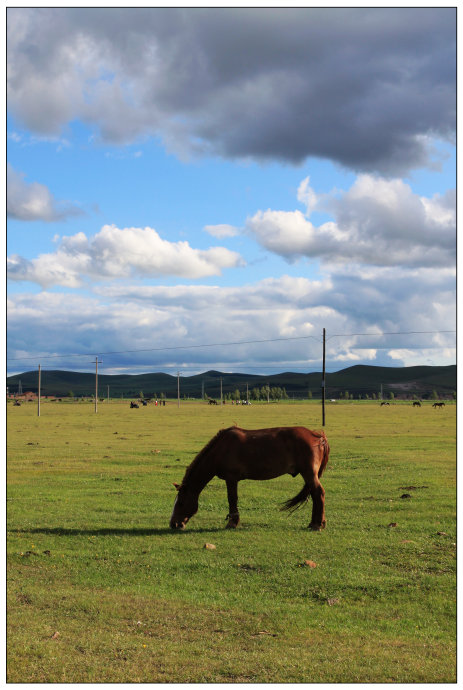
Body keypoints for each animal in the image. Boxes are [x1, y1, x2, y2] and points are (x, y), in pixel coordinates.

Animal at [170, 424, 330, 532]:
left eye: (181, 503)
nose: (173, 524)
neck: (220, 450)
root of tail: (318, 437)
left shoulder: (231, 478)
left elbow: (232, 499)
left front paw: (232, 523)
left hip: (309, 473)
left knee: (318, 493)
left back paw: (317, 524)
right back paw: (315, 523)